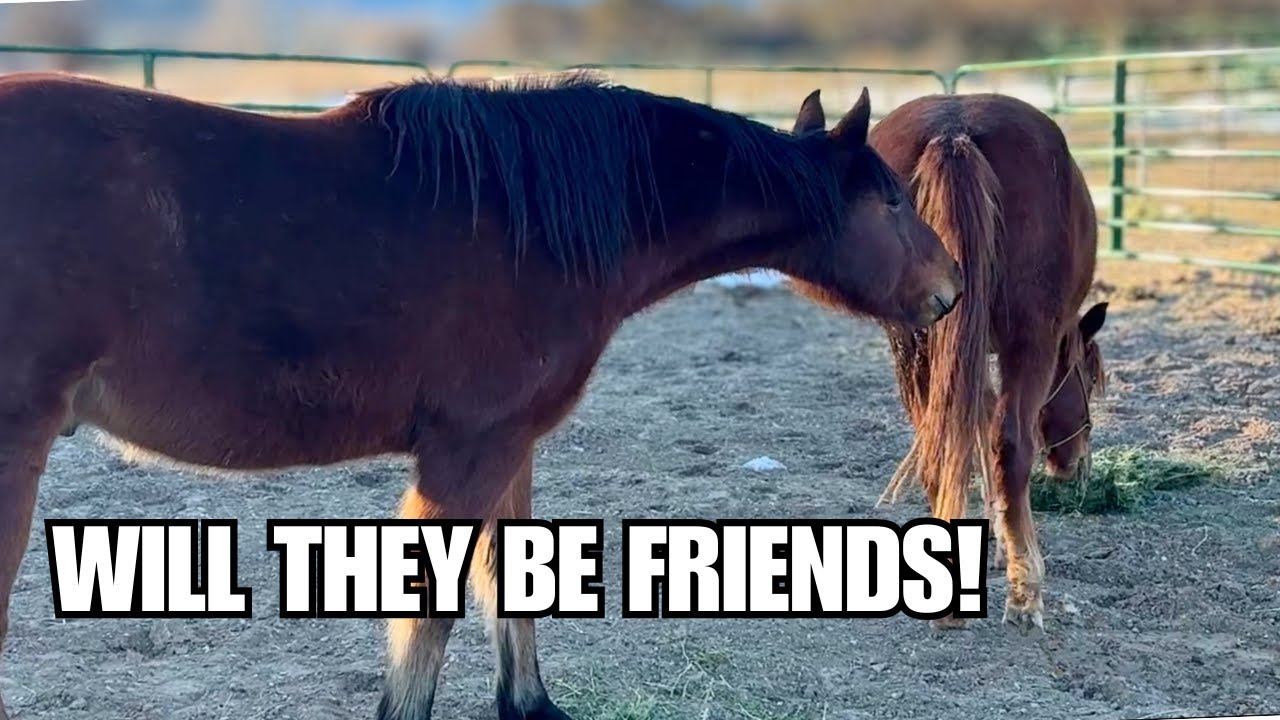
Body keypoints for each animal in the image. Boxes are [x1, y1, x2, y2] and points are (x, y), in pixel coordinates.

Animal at [0, 71, 960, 720]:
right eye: (889, 199)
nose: (950, 289)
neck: (530, 222)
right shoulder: (466, 449)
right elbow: (429, 613)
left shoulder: (509, 442)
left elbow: (512, 575)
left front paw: (528, 703)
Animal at [792, 91, 1108, 633]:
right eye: (1088, 379)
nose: (1075, 467)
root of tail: (953, 131)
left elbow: (972, 420)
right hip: (1027, 338)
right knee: (1009, 441)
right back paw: (1026, 595)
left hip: (918, 335)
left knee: (939, 431)